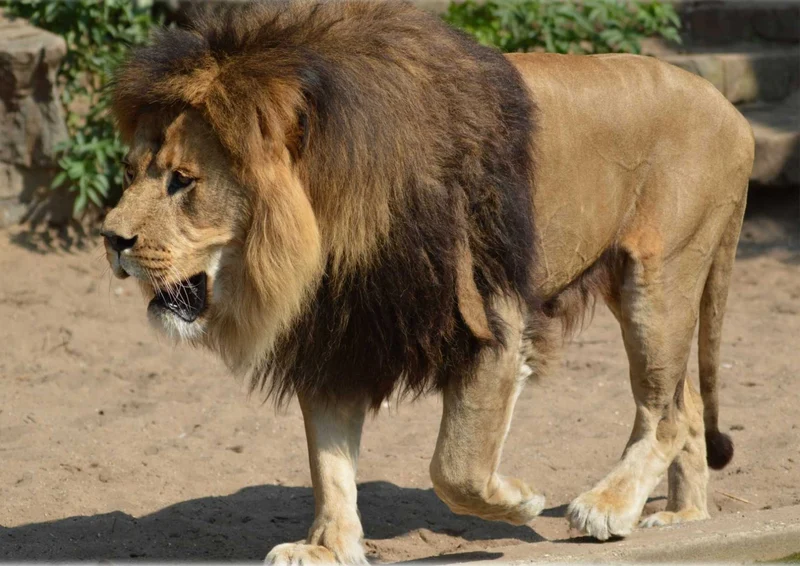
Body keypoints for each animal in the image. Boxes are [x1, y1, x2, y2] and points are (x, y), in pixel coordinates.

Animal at [102, 1, 754, 563]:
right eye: (132, 173)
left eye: (183, 181)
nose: (110, 238)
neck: (333, 232)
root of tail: (733, 111)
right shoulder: (339, 337)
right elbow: (329, 463)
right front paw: (326, 547)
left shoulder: (493, 319)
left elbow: (454, 467)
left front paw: (518, 501)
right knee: (688, 401)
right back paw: (682, 517)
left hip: (659, 278)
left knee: (665, 411)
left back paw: (607, 507)